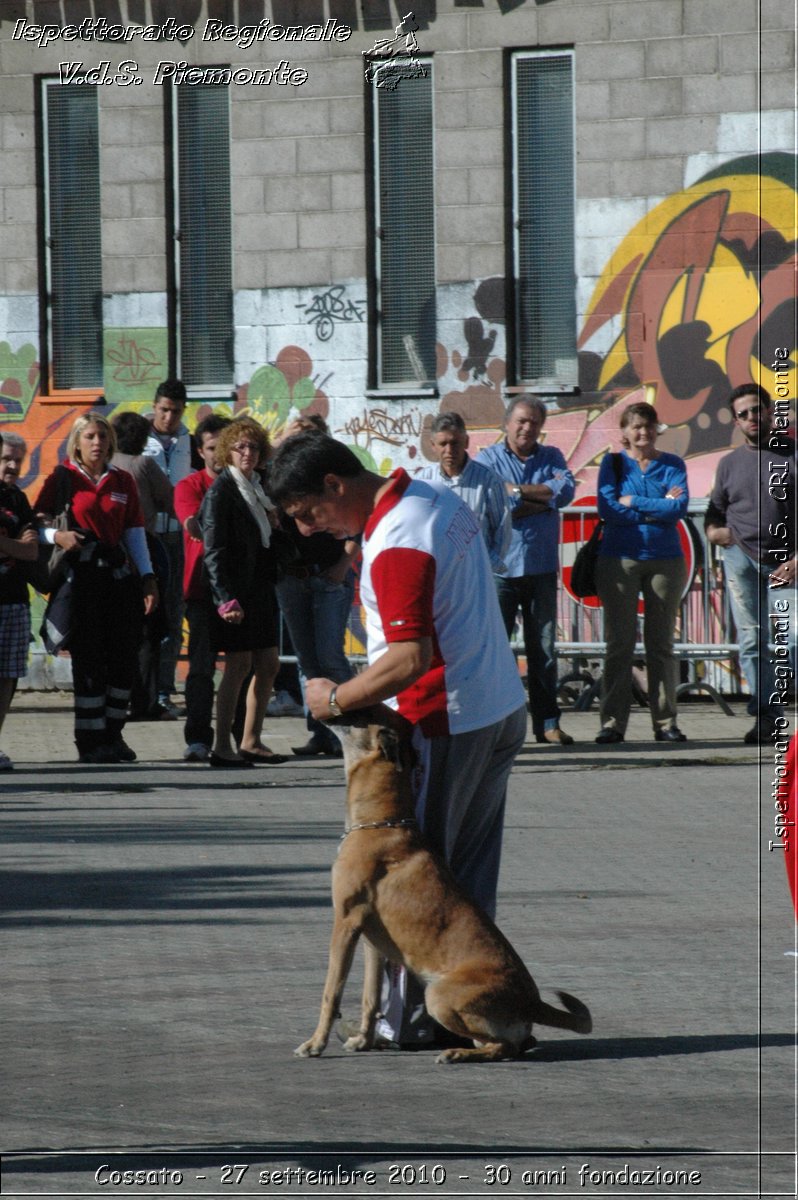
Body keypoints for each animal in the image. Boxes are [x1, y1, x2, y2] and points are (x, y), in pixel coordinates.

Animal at [294, 705, 590, 1065]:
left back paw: (456, 1053)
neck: (381, 823)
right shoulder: (371, 941)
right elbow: (371, 997)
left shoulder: (345, 924)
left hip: (438, 994)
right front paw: (363, 1040)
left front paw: (315, 1043)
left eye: (364, 710)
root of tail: (530, 1002)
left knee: (502, 1047)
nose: (319, 706)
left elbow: (330, 993)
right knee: (510, 1044)